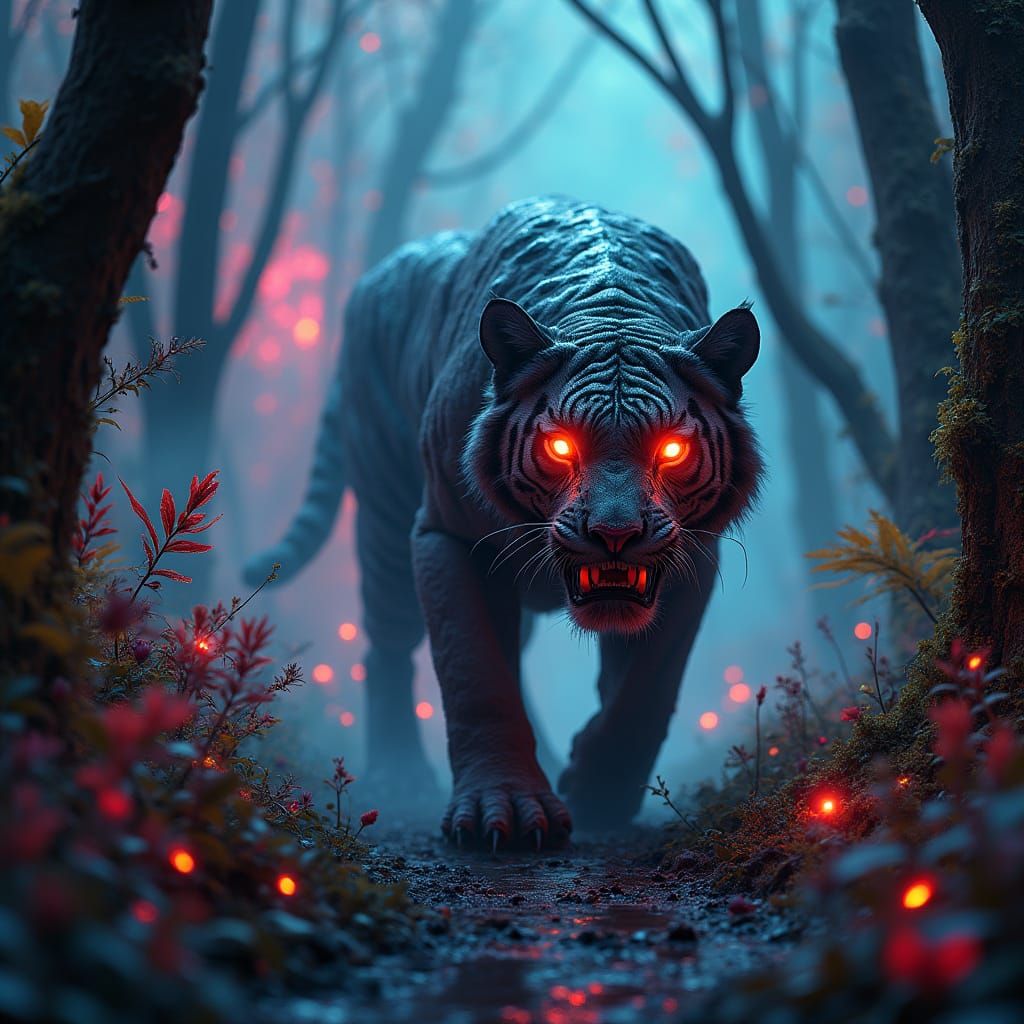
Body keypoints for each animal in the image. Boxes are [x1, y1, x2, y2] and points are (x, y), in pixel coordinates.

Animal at [245, 196, 762, 848]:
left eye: (671, 449)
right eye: (561, 446)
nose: (615, 535)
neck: (611, 307)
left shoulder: (695, 553)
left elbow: (646, 686)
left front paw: (598, 792)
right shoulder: (449, 535)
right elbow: (475, 671)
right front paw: (510, 810)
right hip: (384, 513)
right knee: (387, 645)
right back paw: (398, 774)